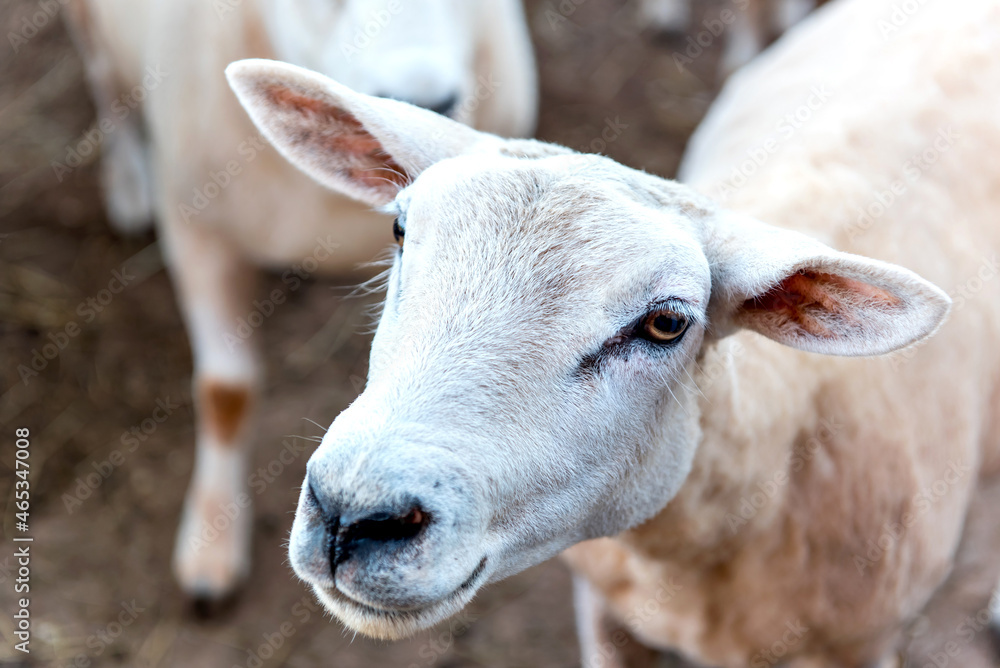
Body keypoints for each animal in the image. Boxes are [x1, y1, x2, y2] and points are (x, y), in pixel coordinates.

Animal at [62, 0, 540, 600]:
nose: (424, 102)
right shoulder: (197, 231)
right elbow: (226, 391)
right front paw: (210, 544)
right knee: (101, 70)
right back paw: (126, 180)